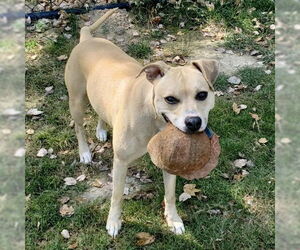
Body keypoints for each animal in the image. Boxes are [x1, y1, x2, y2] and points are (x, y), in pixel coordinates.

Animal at [64, 8, 219, 237]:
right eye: (170, 99)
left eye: (202, 95)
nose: (193, 122)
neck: (152, 115)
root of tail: (87, 38)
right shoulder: (120, 161)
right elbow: (117, 195)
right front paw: (113, 222)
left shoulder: (169, 162)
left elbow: (170, 194)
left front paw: (173, 220)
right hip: (76, 100)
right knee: (79, 129)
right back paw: (84, 152)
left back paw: (101, 130)